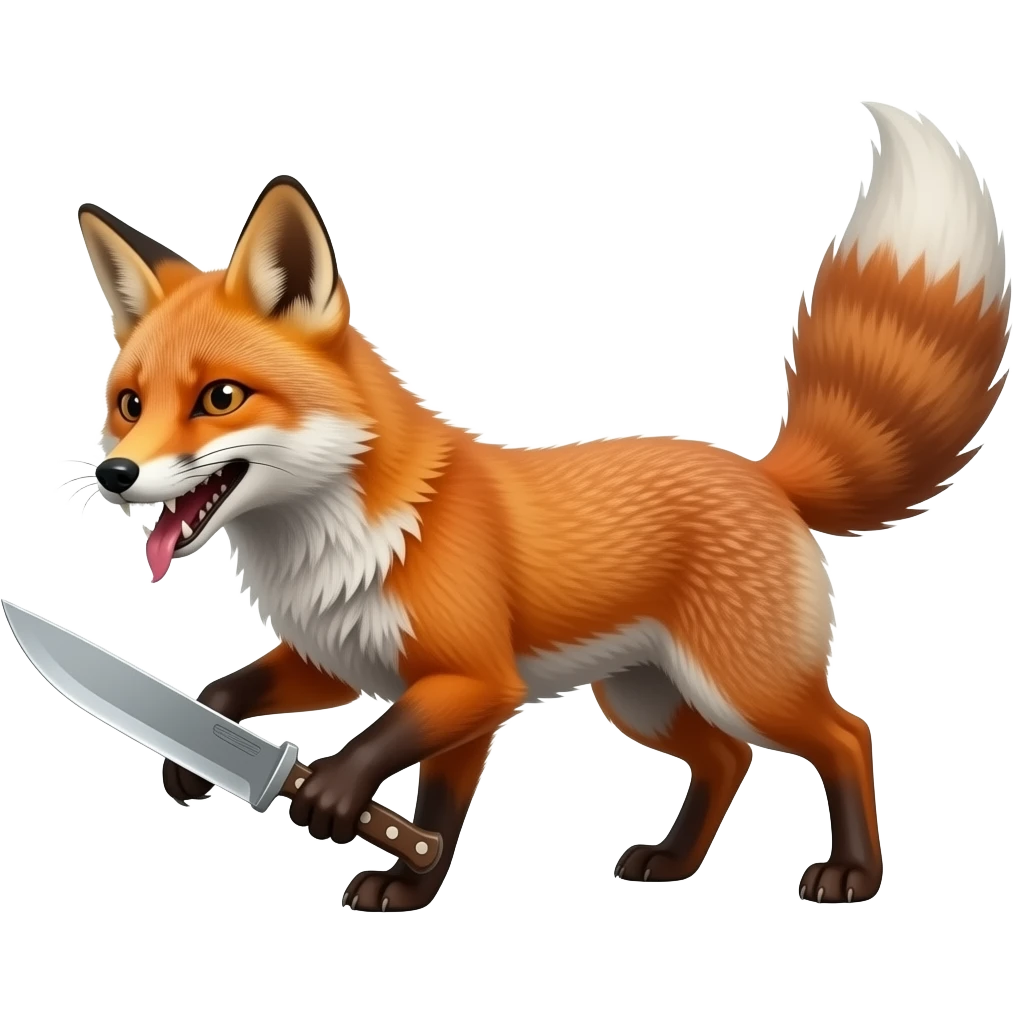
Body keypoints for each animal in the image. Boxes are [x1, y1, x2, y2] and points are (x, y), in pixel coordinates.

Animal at [73, 101, 1009, 912]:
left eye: (221, 398)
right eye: (129, 403)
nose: (114, 473)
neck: (335, 535)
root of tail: (761, 474)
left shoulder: (474, 682)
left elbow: (423, 799)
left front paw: (382, 857)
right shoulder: (341, 656)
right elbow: (230, 688)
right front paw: (197, 750)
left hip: (743, 683)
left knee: (845, 734)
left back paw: (851, 872)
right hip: (643, 697)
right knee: (727, 757)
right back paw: (672, 861)